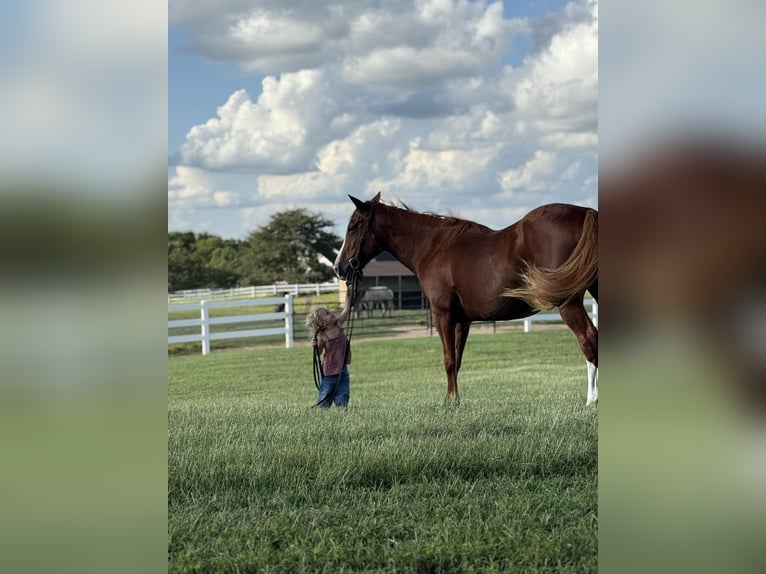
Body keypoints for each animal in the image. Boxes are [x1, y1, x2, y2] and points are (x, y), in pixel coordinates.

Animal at [333, 192, 598, 406]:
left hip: (568, 302)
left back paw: (591, 400)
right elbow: (458, 359)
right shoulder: (463, 320)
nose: (339, 268)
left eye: (353, 226)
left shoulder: (442, 315)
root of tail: (586, 212)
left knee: (588, 338)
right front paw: (454, 398)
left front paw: (450, 402)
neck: (432, 247)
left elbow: (448, 359)